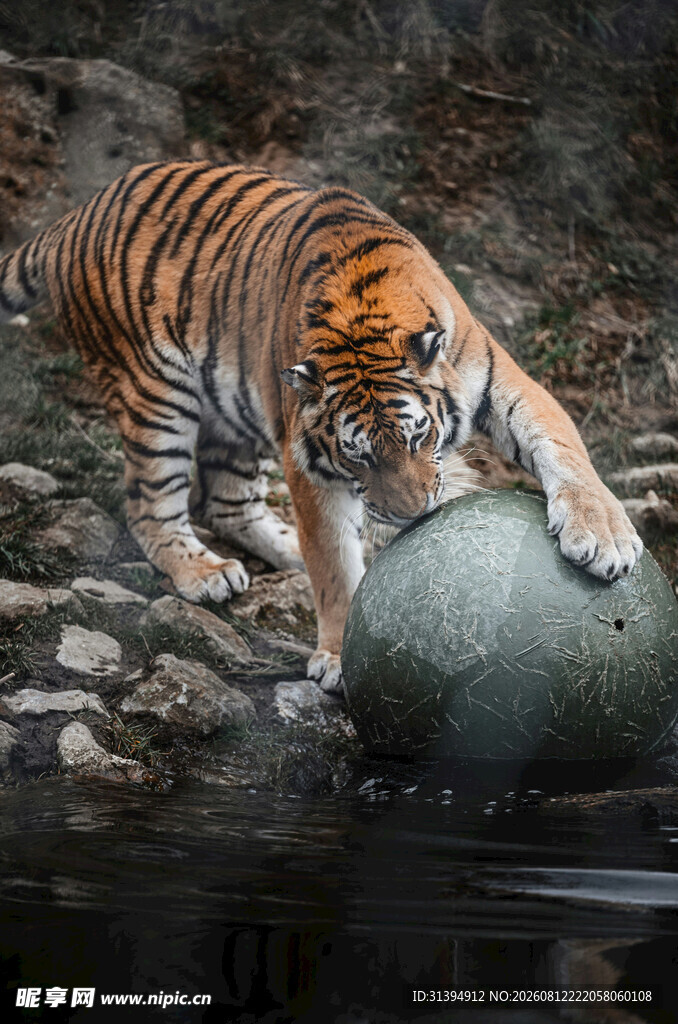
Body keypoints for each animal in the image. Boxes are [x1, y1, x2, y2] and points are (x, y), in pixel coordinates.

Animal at [0, 161, 642, 692]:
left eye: (420, 436)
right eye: (358, 456)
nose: (414, 516)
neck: (364, 315)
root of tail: (77, 215)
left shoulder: (505, 382)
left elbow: (562, 447)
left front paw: (606, 538)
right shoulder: (305, 458)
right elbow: (333, 563)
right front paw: (338, 656)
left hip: (236, 408)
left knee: (226, 499)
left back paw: (283, 547)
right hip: (155, 393)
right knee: (149, 504)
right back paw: (204, 571)